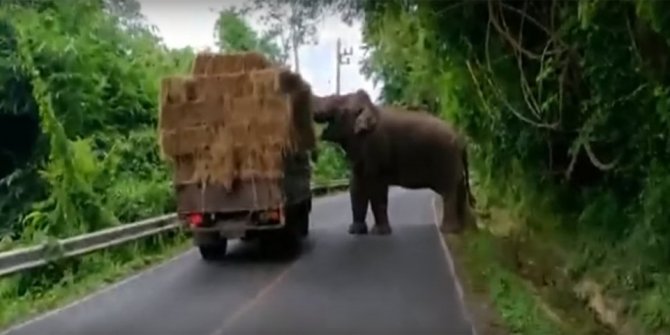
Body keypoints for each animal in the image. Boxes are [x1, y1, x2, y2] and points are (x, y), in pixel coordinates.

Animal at [312, 90, 476, 236]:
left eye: (336, 101)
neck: (372, 109)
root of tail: (461, 140)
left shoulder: (376, 148)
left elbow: (376, 188)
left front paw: (379, 232)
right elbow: (356, 186)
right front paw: (355, 231)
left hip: (446, 159)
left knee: (449, 192)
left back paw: (448, 230)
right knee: (459, 189)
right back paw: (465, 230)